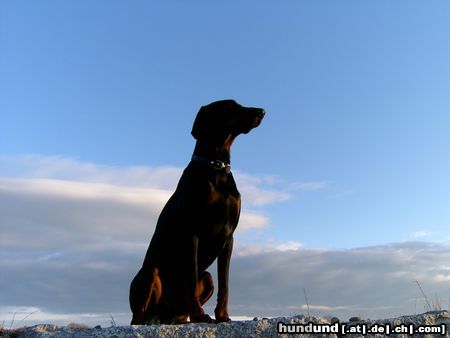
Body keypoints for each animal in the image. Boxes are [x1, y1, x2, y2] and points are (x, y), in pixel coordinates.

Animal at [129, 99, 264, 324]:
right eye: (230, 106)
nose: (262, 111)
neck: (216, 167)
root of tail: (162, 314)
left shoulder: (228, 236)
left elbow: (225, 284)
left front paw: (223, 316)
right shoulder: (192, 232)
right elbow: (190, 279)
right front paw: (200, 315)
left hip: (206, 279)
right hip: (150, 271)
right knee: (138, 315)